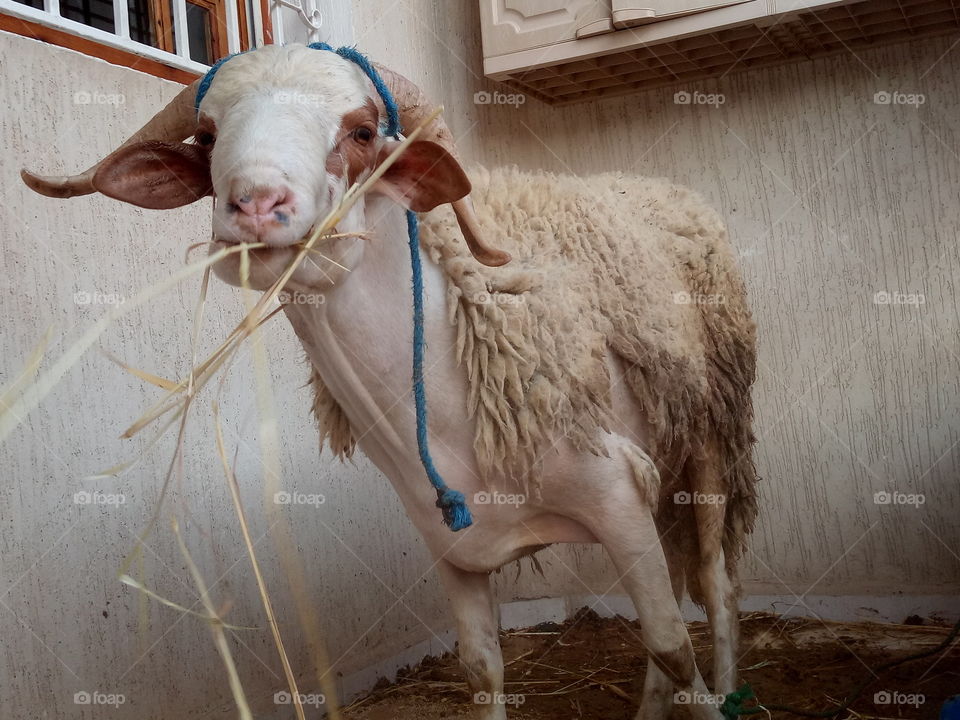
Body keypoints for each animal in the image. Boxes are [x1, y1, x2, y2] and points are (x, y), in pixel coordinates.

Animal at [21, 43, 758, 720]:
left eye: (362, 131)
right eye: (205, 137)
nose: (256, 205)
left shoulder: (616, 494)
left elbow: (671, 644)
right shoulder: (452, 546)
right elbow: (481, 669)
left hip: (710, 439)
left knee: (716, 585)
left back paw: (726, 686)